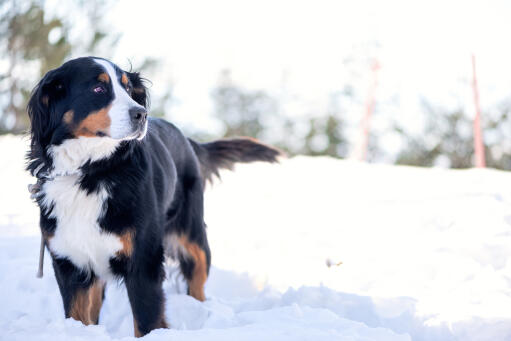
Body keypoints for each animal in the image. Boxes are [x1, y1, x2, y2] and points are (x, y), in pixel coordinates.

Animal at [26, 57, 282, 336]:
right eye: (98, 88)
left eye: (128, 88)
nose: (141, 114)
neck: (91, 171)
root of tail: (187, 140)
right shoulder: (70, 261)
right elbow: (79, 316)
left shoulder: (143, 260)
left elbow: (147, 320)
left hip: (192, 236)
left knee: (197, 278)